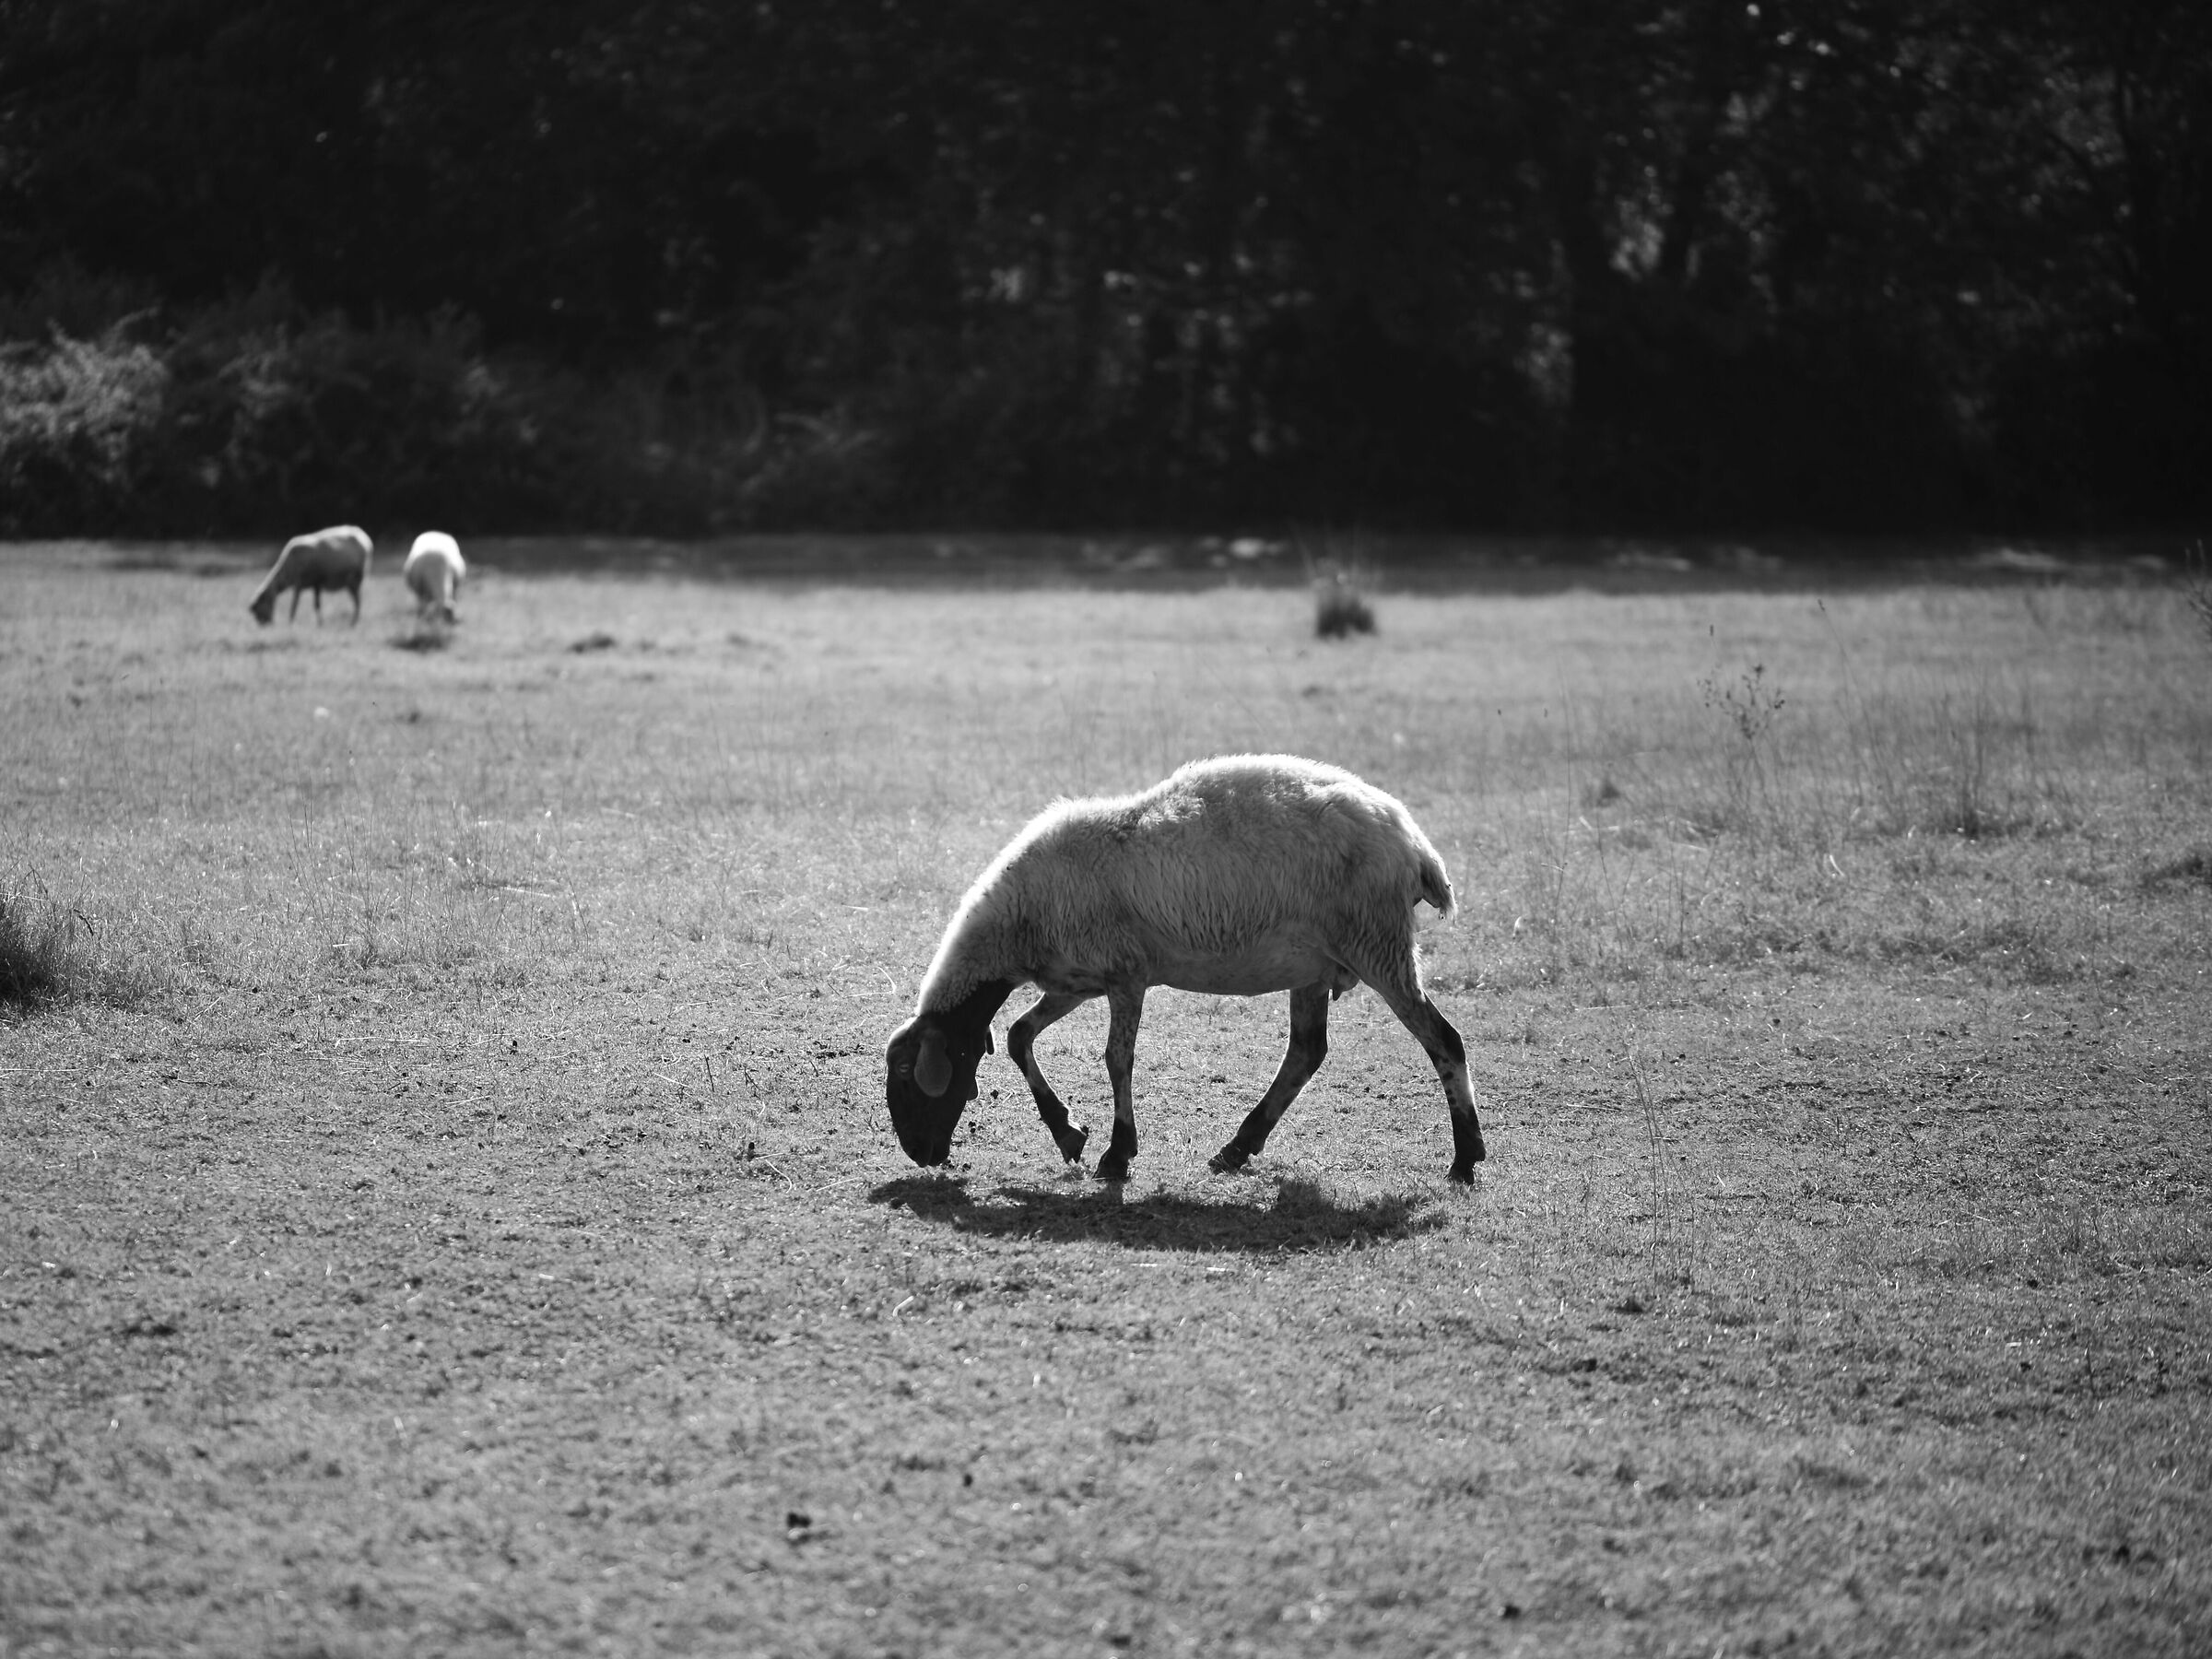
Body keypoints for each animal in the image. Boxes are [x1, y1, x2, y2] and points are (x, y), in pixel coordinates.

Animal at [248, 525, 372, 625]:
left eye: (258, 610)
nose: (264, 626)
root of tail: (366, 540)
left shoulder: (301, 583)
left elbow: (295, 605)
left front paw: (291, 623)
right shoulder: (315, 584)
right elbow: (316, 605)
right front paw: (319, 623)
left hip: (355, 578)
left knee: (358, 602)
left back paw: (353, 623)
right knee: (357, 601)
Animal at [883, 754, 1486, 1184]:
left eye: (910, 1073)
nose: (919, 1154)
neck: (1018, 923)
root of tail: (1416, 845)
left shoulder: (1126, 976)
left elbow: (1116, 1060)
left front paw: (1116, 1154)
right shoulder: (1076, 982)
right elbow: (1016, 1035)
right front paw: (1068, 1134)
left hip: (1377, 944)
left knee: (1444, 1041)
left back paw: (1466, 1158)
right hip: (1316, 966)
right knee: (1306, 1052)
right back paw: (1236, 1149)